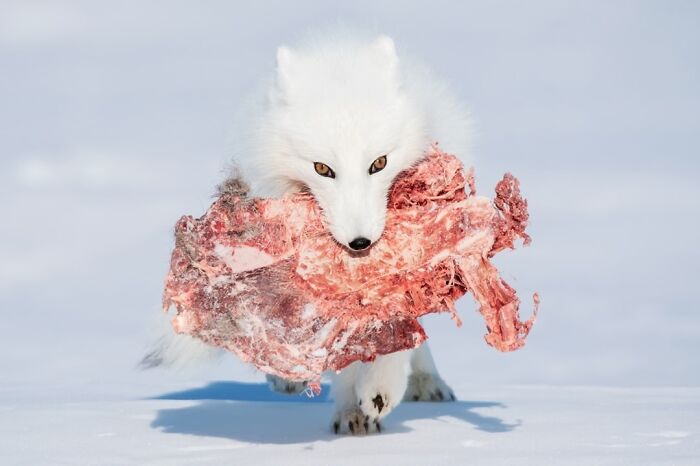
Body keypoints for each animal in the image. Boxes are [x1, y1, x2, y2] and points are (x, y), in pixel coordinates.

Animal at [146, 32, 472, 435]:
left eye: (379, 163)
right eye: (322, 169)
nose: (360, 243)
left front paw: (378, 390)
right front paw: (350, 408)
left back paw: (425, 382)